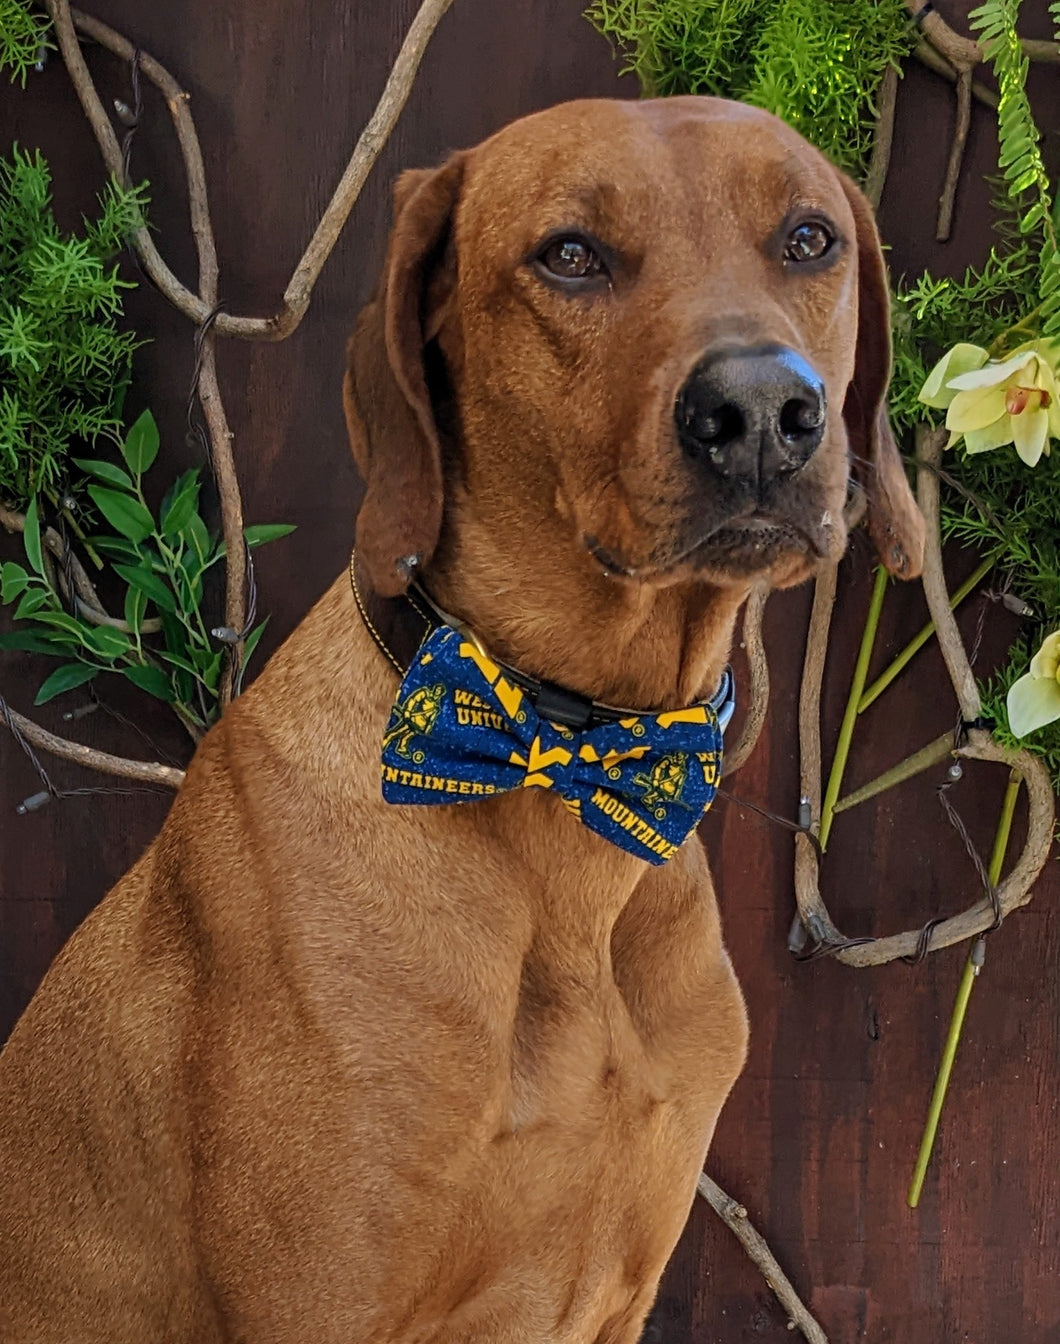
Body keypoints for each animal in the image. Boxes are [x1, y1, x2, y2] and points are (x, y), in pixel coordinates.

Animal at [0, 99, 918, 1344]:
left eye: (810, 238)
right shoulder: (321, 1305)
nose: (764, 414)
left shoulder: (621, 1291)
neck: (567, 768)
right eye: (569, 254)